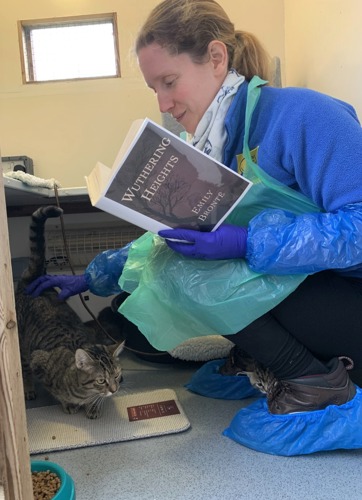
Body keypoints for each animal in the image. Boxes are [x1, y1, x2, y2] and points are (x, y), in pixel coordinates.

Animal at [14, 204, 125, 418]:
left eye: (117, 375)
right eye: (101, 380)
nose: (115, 389)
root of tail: (33, 278)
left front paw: (93, 406)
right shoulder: (38, 361)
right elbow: (56, 393)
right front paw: (69, 404)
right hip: (23, 346)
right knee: (24, 369)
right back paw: (28, 388)